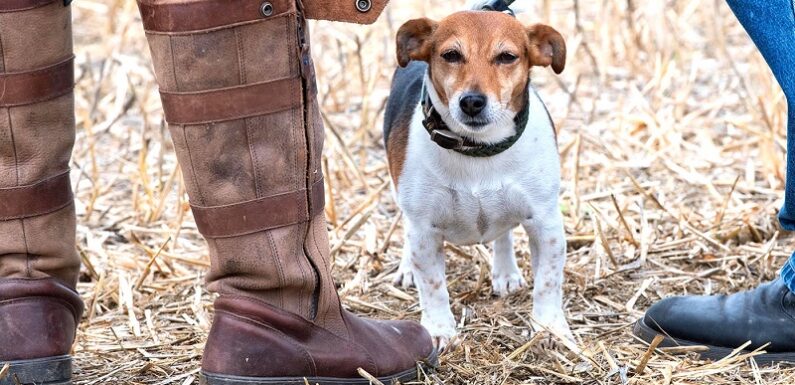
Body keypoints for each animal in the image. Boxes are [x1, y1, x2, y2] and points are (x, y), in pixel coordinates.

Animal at [386, 6, 572, 348]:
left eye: (507, 57)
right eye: (451, 55)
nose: (472, 101)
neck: (478, 150)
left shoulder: (546, 222)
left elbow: (548, 281)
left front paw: (549, 327)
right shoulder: (423, 229)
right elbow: (432, 286)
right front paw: (439, 331)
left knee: (504, 234)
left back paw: (505, 271)